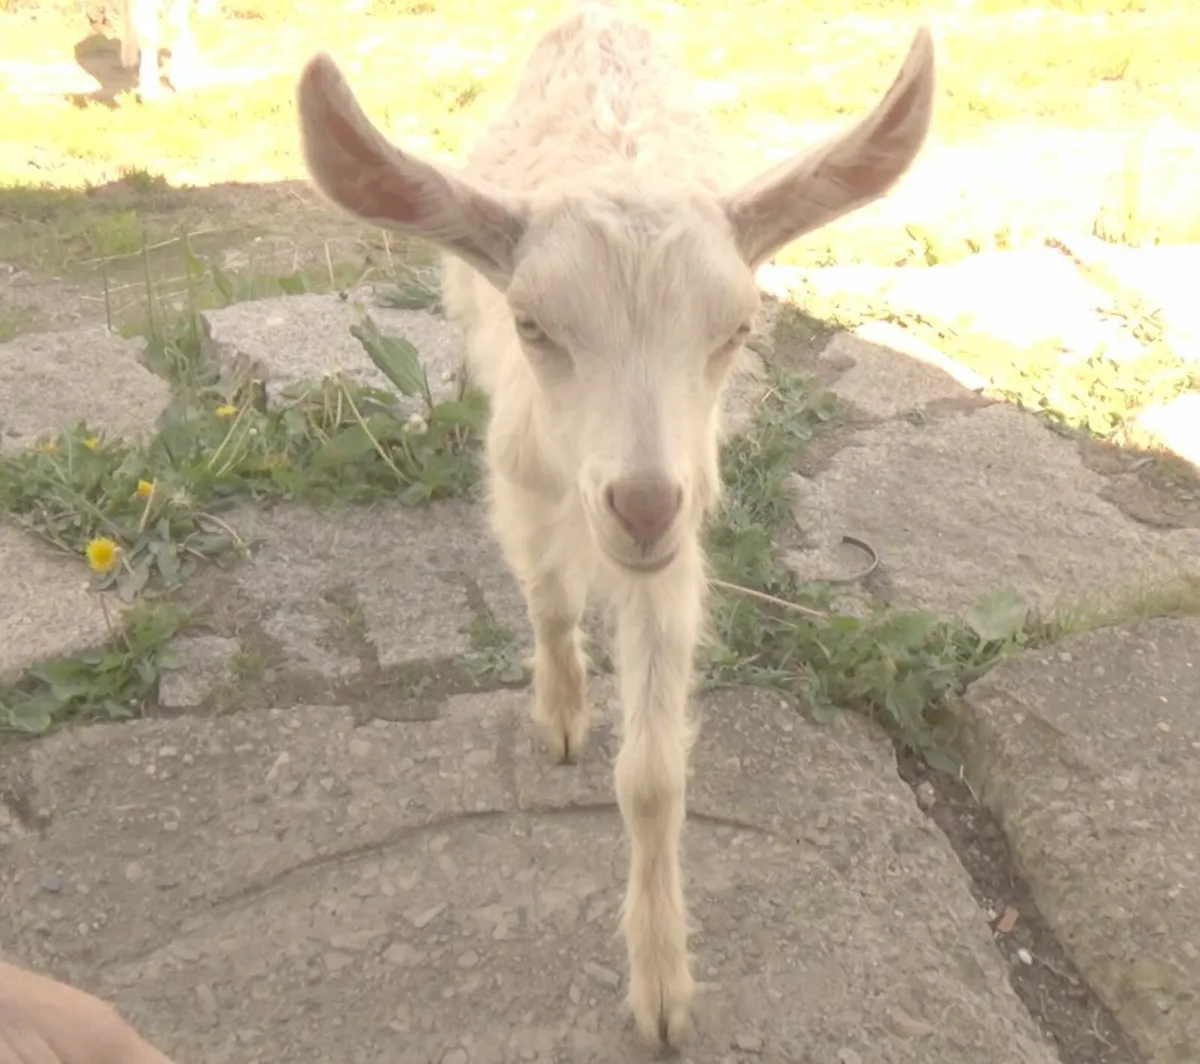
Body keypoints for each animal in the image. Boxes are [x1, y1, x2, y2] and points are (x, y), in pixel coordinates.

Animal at [296, 0, 934, 1046]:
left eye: (737, 331)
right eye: (533, 326)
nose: (639, 507)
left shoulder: (678, 543)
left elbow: (654, 774)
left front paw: (664, 985)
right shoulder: (521, 484)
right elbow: (548, 598)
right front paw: (560, 715)